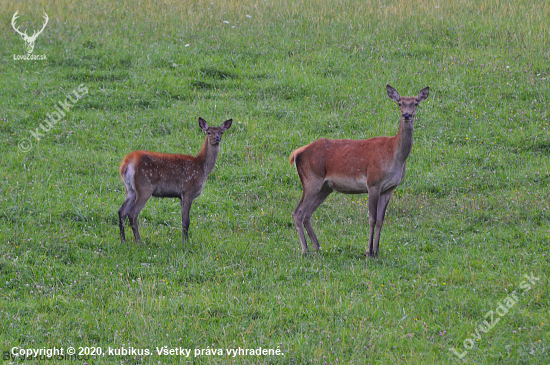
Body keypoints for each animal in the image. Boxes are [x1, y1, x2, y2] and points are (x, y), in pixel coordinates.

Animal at [292, 84, 430, 258]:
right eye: (400, 103)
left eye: (416, 103)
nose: (406, 115)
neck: (394, 156)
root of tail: (297, 154)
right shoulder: (373, 182)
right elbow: (372, 219)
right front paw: (368, 252)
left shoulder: (389, 188)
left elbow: (381, 220)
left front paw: (376, 251)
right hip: (311, 180)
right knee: (298, 212)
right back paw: (305, 250)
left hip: (325, 187)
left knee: (307, 214)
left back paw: (317, 247)